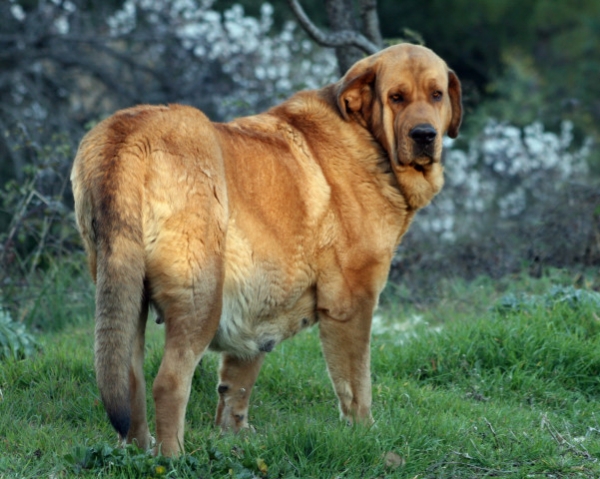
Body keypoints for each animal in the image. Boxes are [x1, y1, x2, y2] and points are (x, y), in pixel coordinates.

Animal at [71, 43, 464, 456]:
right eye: (396, 97)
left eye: (436, 95)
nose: (425, 135)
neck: (369, 140)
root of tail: (127, 136)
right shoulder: (351, 303)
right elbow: (356, 384)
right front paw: (365, 434)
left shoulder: (258, 302)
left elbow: (237, 383)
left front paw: (234, 437)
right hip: (201, 298)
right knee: (170, 383)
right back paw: (172, 458)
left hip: (127, 296)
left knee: (130, 382)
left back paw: (138, 452)